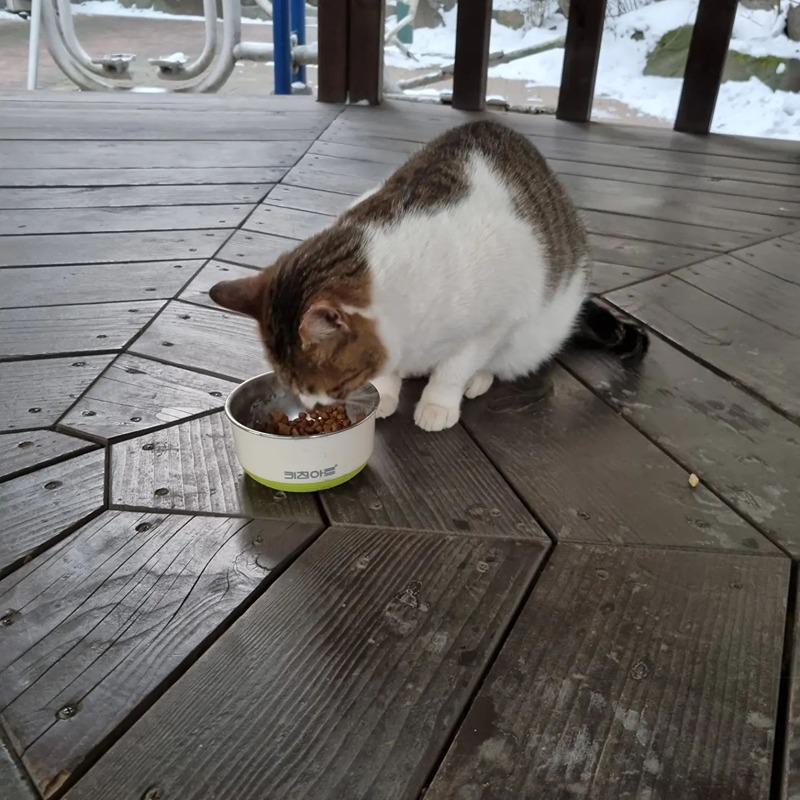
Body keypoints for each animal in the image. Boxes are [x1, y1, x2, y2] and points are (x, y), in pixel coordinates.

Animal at [209, 119, 648, 432]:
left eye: (332, 388)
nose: (313, 410)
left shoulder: (497, 319)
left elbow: (456, 366)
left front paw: (438, 402)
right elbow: (389, 373)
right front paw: (386, 392)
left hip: (538, 331)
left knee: (502, 359)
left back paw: (478, 378)